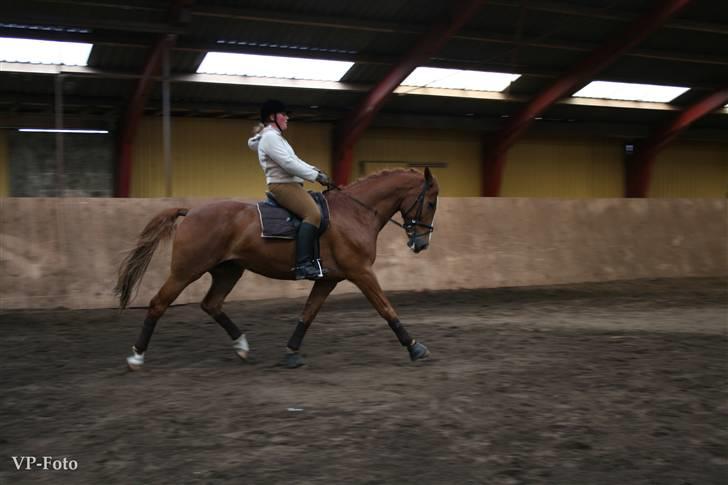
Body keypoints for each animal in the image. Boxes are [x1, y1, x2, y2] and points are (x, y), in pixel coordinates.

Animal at [116, 166, 440, 366]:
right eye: (432, 202)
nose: (421, 244)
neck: (355, 212)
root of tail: (191, 211)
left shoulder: (328, 279)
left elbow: (308, 314)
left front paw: (291, 352)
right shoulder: (360, 272)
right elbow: (386, 308)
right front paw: (415, 347)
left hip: (229, 270)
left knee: (212, 304)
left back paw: (242, 346)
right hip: (186, 270)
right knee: (158, 304)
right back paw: (136, 357)